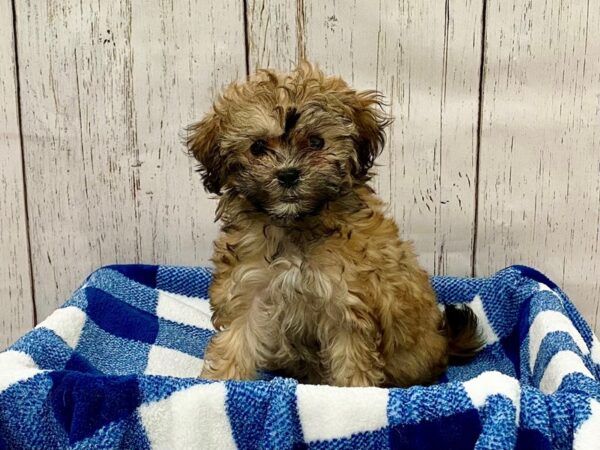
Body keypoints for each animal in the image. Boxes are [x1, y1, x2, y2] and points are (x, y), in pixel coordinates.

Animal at [185, 62, 480, 386]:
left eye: (317, 142)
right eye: (258, 147)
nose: (288, 174)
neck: (297, 223)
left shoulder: (347, 302)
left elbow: (352, 360)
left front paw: (351, 393)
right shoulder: (249, 287)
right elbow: (237, 340)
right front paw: (219, 384)